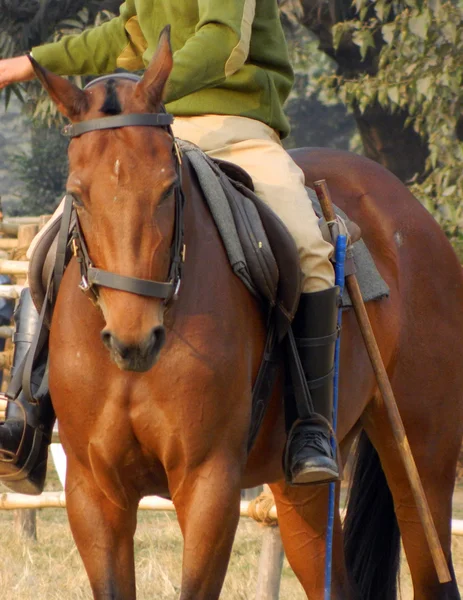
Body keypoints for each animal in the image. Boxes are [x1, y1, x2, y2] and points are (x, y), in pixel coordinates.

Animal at [30, 31, 462, 600]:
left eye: (168, 189)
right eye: (77, 195)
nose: (134, 340)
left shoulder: (208, 485)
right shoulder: (93, 493)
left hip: (421, 460)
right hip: (302, 487)